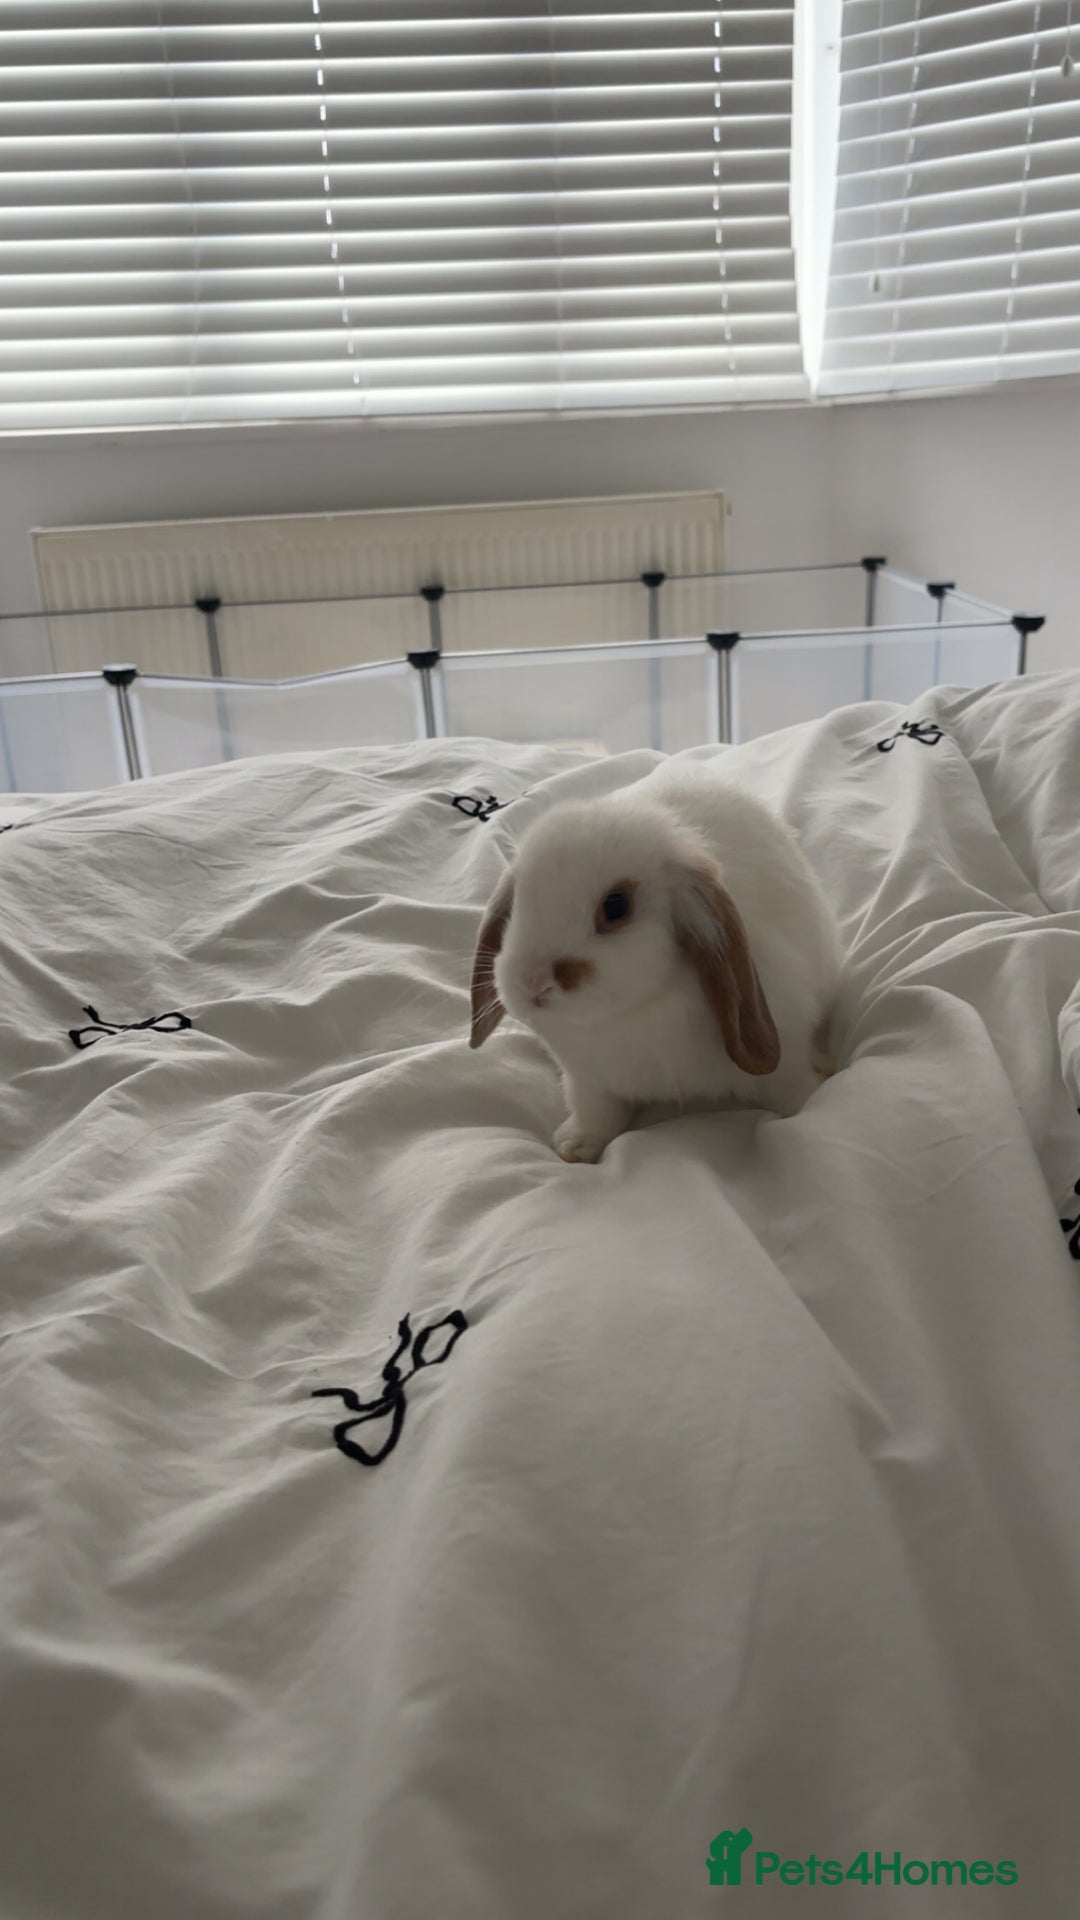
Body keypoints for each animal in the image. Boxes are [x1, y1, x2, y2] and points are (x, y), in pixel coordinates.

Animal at [468, 760, 843, 1163]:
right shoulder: (587, 1079)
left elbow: (792, 1089)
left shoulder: (783, 1053)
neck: (627, 1015)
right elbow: (595, 1112)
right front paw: (574, 1148)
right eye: (516, 903)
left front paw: (811, 1104)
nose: (533, 982)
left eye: (616, 906)